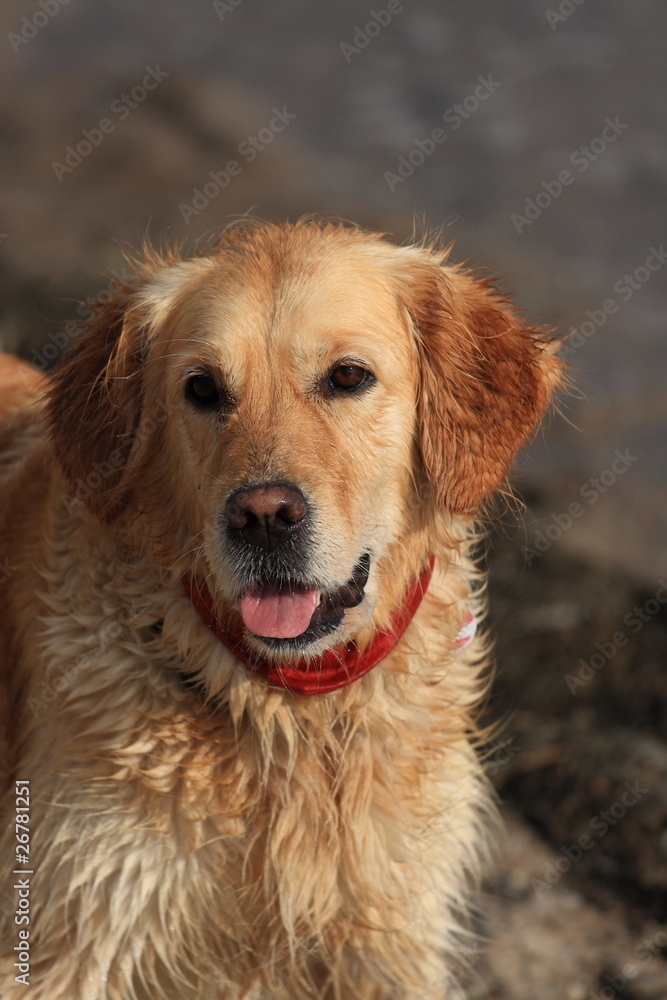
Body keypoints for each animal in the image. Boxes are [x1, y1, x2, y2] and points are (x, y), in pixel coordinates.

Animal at [0, 223, 560, 996]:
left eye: (348, 377)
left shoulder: (391, 942)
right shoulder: (72, 935)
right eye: (202, 389)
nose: (263, 516)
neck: (298, 716)